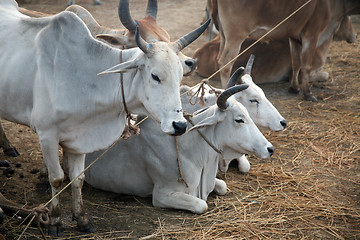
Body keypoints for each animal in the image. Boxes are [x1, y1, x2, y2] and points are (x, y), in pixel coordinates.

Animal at [0, 0, 208, 235]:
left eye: (179, 76)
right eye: (155, 76)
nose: (179, 125)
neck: (84, 75)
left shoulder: (79, 137)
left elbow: (78, 179)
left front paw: (82, 219)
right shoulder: (47, 134)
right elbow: (57, 178)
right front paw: (54, 220)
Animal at [85, 69, 272, 214]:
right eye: (239, 120)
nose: (270, 148)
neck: (190, 148)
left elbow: (223, 186)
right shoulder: (162, 195)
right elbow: (202, 205)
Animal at [211, 0, 360, 101]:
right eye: (348, 20)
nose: (355, 35)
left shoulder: (294, 37)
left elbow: (296, 62)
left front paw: (294, 88)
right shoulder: (312, 34)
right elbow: (306, 65)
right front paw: (308, 93)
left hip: (224, 36)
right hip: (235, 36)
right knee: (225, 63)